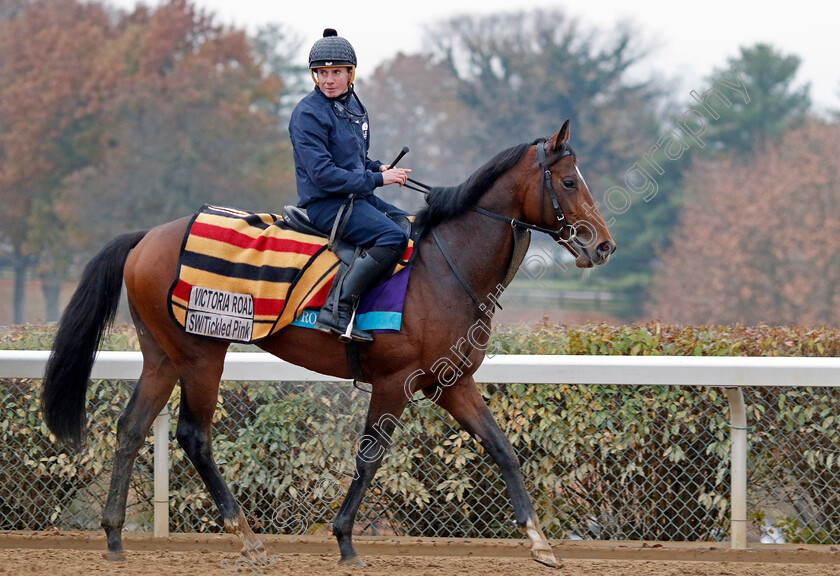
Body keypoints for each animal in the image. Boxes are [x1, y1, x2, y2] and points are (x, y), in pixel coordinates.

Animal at [39, 120, 616, 568]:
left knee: (132, 426)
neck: (446, 269)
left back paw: (114, 535)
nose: (603, 245)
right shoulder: (395, 382)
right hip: (203, 353)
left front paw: (540, 542)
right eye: (569, 180)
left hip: (163, 355)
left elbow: (502, 448)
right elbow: (369, 457)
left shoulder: (452, 382)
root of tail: (146, 236)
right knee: (193, 436)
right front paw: (344, 540)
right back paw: (246, 537)